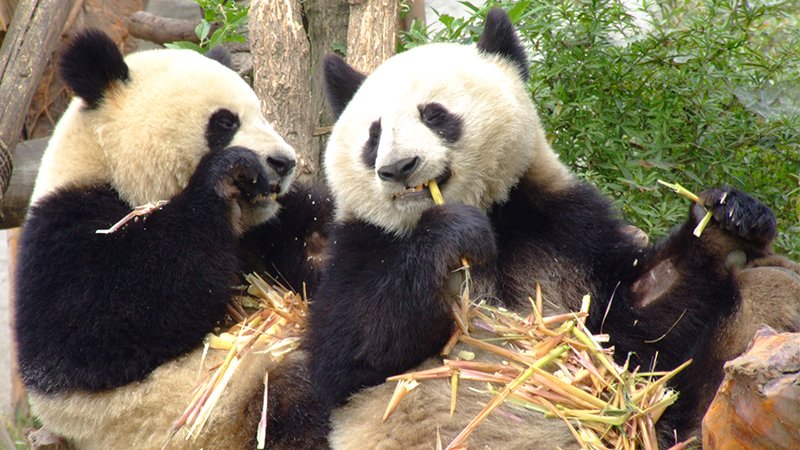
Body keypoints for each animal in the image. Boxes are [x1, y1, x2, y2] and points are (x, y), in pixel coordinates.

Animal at [14, 30, 331, 450]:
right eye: (225, 122)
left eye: (262, 114)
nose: (284, 162)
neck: (110, 170)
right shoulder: (60, 228)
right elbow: (90, 330)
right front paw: (226, 174)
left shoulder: (271, 226)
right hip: (210, 412)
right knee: (291, 399)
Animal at [306, 7, 800, 450]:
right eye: (374, 134)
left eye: (434, 115)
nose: (398, 168)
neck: (491, 213)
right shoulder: (360, 245)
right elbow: (353, 348)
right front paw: (453, 231)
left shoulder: (561, 228)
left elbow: (631, 317)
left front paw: (727, 221)